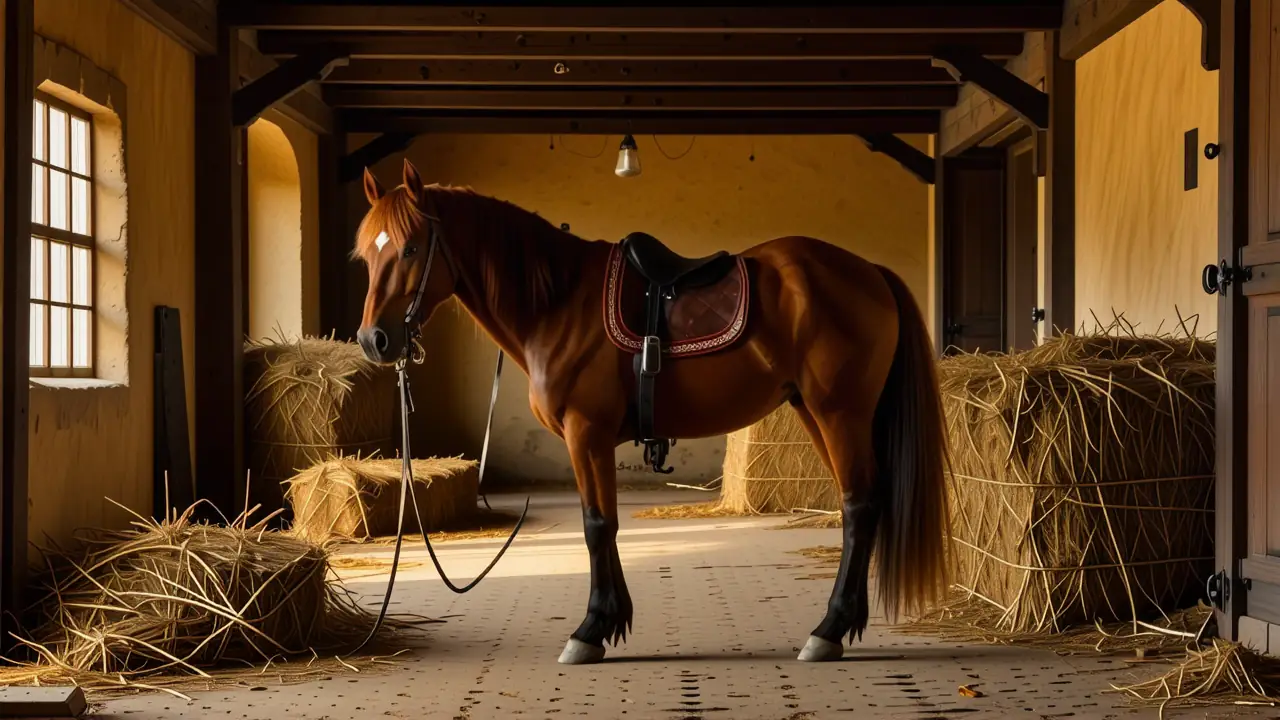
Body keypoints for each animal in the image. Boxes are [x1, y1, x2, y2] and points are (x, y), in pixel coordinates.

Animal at [351, 158, 952, 665]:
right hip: (817, 411)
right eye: (366, 255)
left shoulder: (586, 433)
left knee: (859, 506)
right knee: (863, 503)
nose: (375, 340)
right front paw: (611, 622)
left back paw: (828, 630)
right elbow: (606, 524)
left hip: (839, 412)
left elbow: (597, 525)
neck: (558, 303)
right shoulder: (591, 439)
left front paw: (591, 629)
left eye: (410, 248)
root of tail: (868, 271)